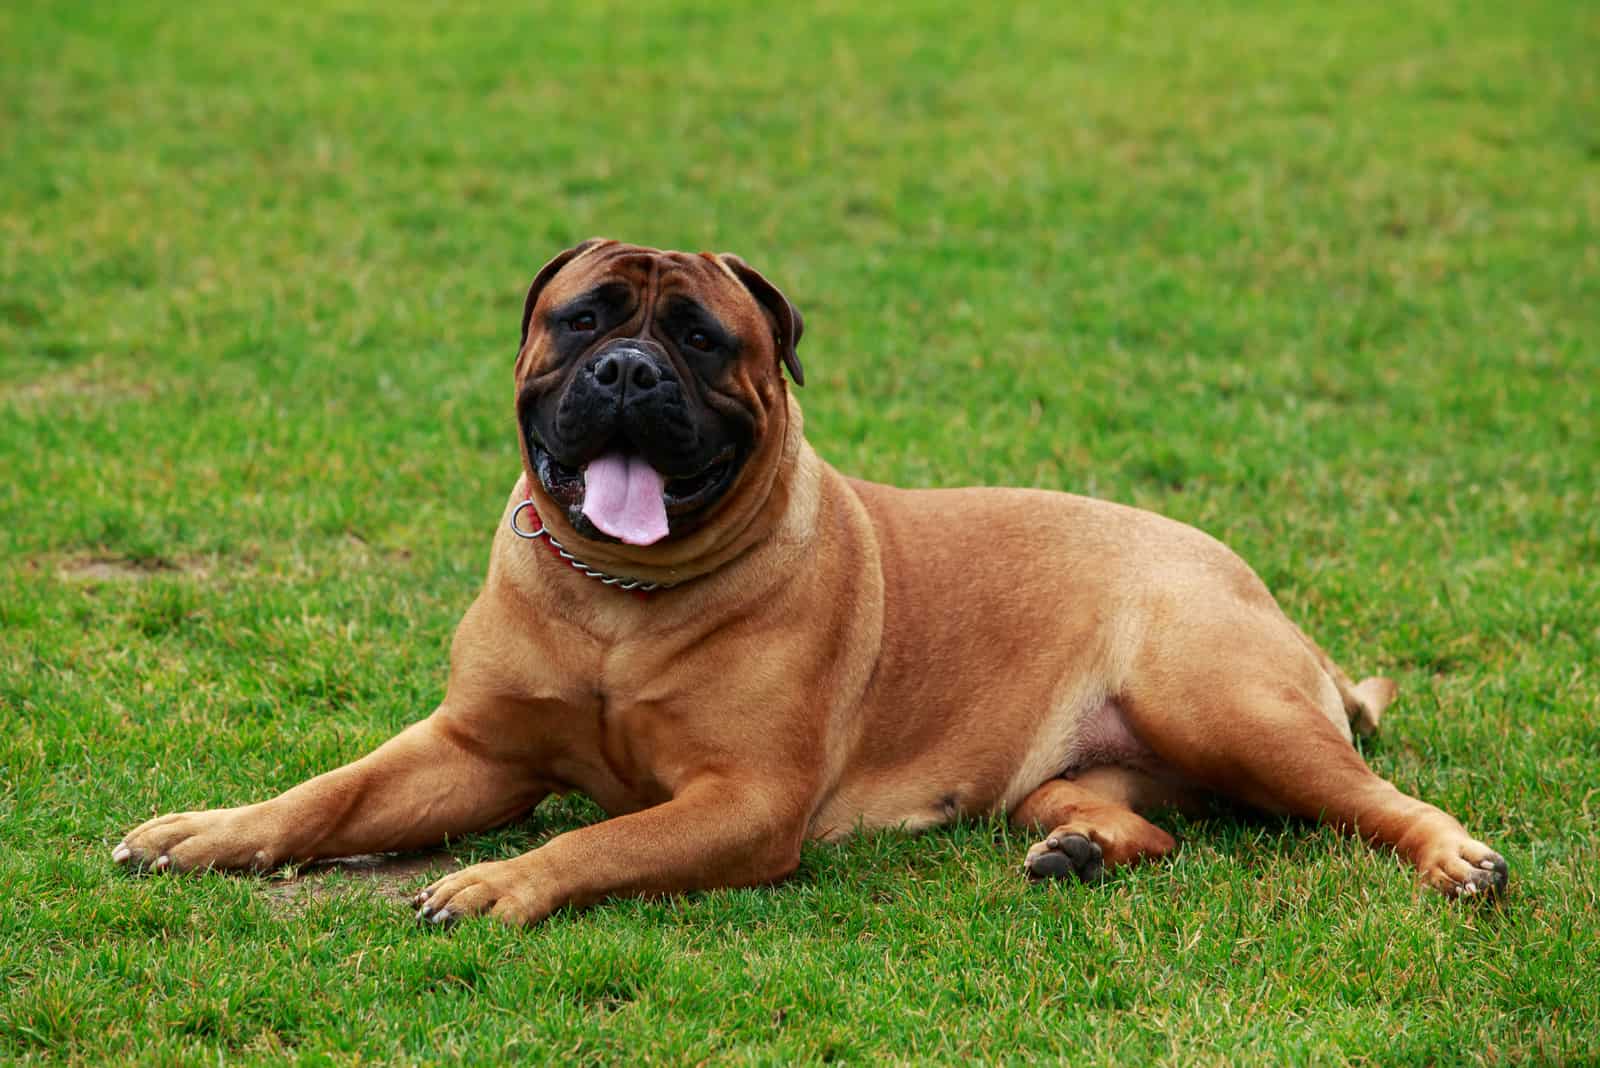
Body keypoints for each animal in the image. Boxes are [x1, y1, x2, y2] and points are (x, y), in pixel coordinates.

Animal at [116, 239, 1510, 920]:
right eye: (584, 317)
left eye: (701, 338)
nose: (628, 371)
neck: (617, 599)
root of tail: (1258, 591)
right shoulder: (471, 749)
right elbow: (333, 794)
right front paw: (209, 832)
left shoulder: (744, 803)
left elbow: (604, 838)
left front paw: (501, 884)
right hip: (1090, 763)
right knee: (1141, 821)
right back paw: (1076, 852)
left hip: (1227, 706)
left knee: (1373, 799)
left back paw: (1455, 861)